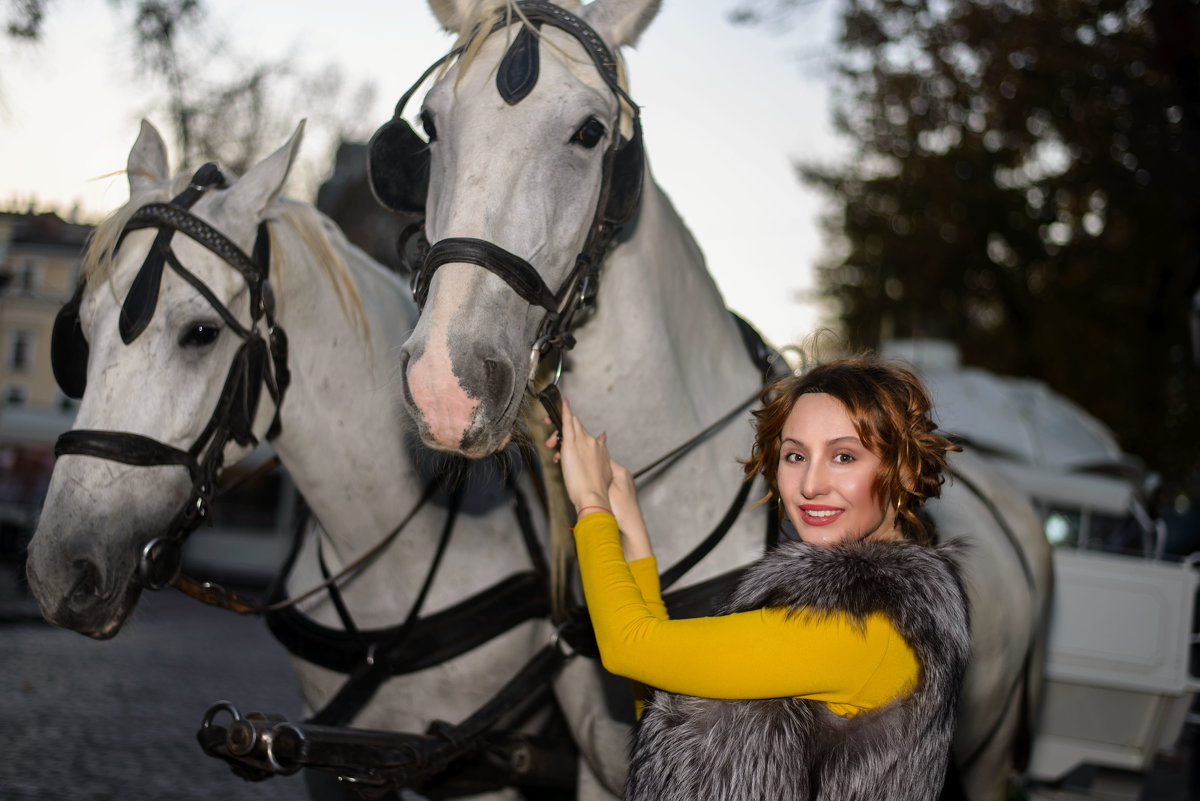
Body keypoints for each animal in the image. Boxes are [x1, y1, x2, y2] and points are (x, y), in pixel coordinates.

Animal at [23, 120, 556, 801]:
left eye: (201, 333)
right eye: (82, 336)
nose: (60, 572)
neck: (386, 553)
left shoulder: (482, 769)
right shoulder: (331, 762)